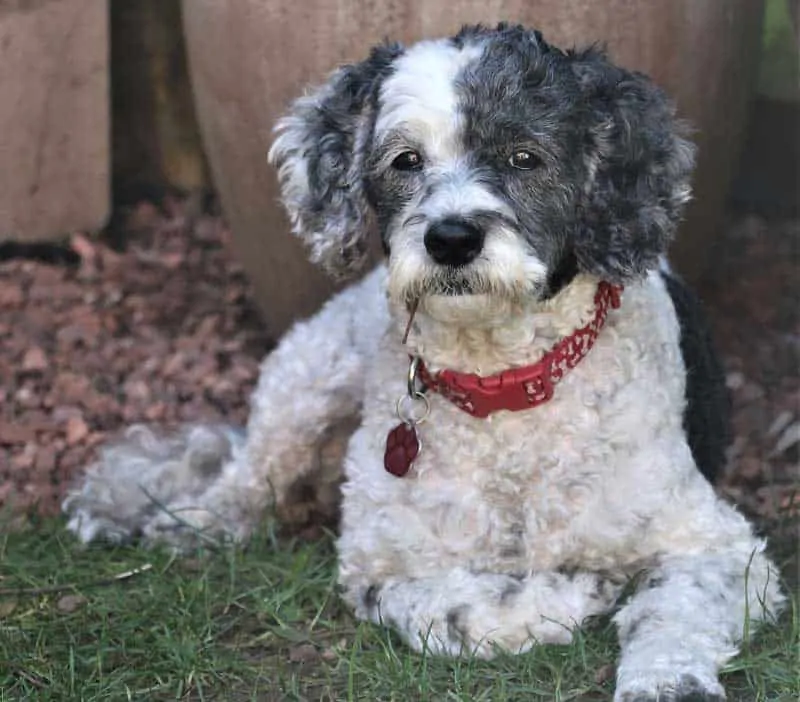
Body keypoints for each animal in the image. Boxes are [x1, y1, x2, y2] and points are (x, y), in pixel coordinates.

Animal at [64, 23, 788, 702]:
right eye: (405, 160)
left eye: (525, 156)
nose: (452, 237)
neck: (503, 394)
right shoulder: (378, 561)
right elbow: (455, 612)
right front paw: (569, 593)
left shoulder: (716, 543)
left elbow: (674, 613)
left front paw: (666, 680)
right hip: (307, 376)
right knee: (247, 476)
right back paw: (194, 521)